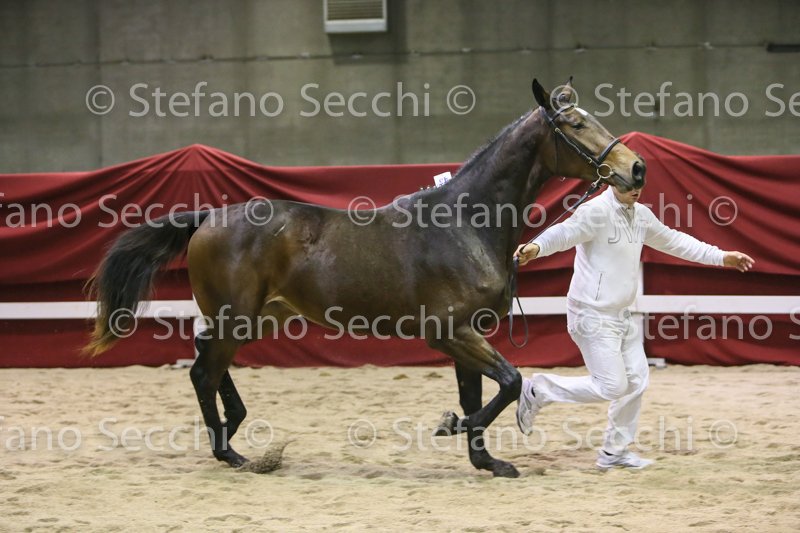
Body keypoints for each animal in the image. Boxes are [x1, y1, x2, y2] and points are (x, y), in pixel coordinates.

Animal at [85, 78, 646, 478]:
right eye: (574, 125)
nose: (636, 168)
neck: (466, 223)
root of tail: (208, 218)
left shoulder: (466, 333)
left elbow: (481, 393)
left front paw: (485, 460)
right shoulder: (449, 333)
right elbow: (508, 383)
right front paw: (453, 427)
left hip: (257, 318)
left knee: (207, 358)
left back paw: (237, 432)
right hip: (237, 316)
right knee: (202, 370)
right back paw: (231, 453)